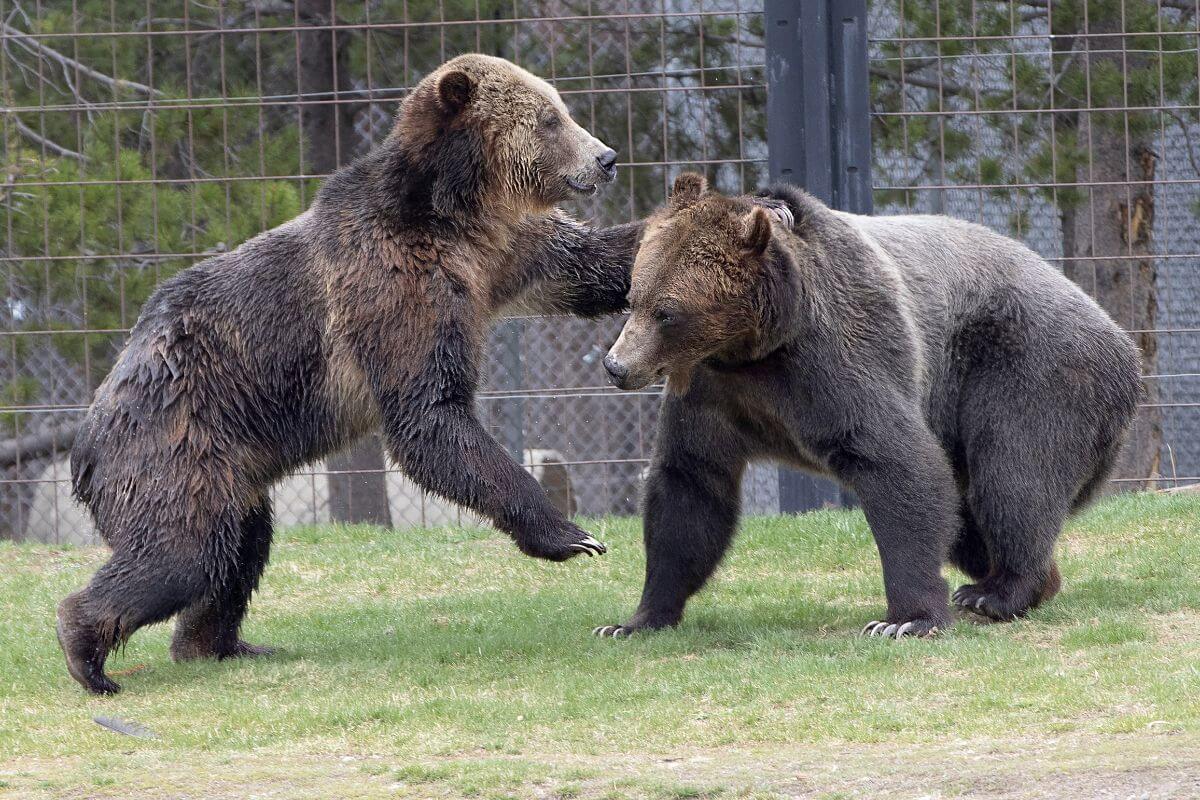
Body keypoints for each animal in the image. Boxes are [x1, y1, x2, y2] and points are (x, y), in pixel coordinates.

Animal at [56, 54, 646, 695]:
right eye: (549, 119)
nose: (606, 157)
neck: (456, 212)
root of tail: (84, 445)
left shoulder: (507, 249)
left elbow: (596, 264)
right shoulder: (394, 285)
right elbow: (429, 415)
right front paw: (574, 535)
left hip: (228, 468)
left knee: (239, 546)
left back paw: (218, 644)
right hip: (170, 446)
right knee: (181, 551)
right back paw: (86, 652)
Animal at [592, 173, 1142, 640]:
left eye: (667, 312)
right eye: (633, 298)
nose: (617, 365)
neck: (757, 346)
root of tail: (1124, 342)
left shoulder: (837, 357)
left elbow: (896, 462)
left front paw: (905, 619)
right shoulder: (714, 391)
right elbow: (689, 485)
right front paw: (635, 620)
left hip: (1032, 366)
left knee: (1013, 475)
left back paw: (1000, 590)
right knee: (968, 512)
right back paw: (1014, 583)